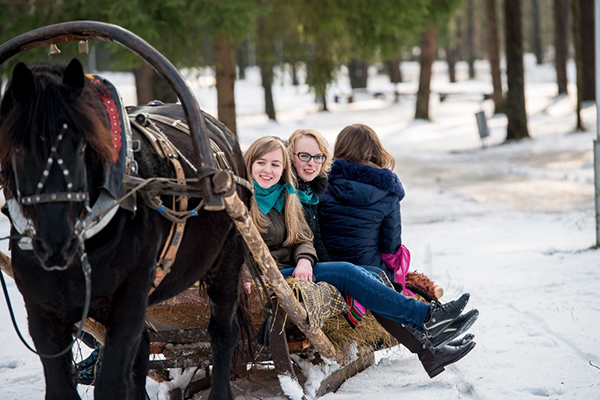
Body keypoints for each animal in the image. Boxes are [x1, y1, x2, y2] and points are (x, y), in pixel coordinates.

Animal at [0, 59, 248, 400]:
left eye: (82, 145)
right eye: (20, 148)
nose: (55, 242)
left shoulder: (128, 297)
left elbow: (112, 383)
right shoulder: (41, 311)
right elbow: (64, 386)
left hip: (226, 259)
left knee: (223, 332)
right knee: (142, 351)